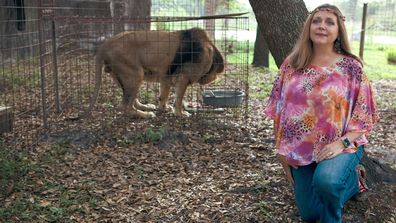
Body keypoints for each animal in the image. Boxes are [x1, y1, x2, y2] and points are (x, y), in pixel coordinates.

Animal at [83, 27, 224, 118]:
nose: (212, 78)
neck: (209, 50)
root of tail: (105, 45)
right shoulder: (183, 77)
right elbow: (179, 98)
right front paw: (180, 113)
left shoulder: (166, 76)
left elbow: (164, 95)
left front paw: (164, 108)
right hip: (136, 74)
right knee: (125, 106)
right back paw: (146, 114)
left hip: (121, 76)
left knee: (131, 100)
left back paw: (146, 107)